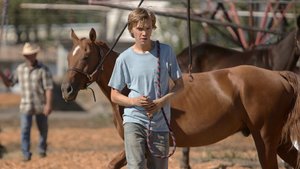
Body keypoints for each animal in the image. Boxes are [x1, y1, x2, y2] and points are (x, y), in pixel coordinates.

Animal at [61, 28, 300, 168]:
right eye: (68, 57)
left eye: (85, 56)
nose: (66, 90)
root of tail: (279, 76)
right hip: (280, 142)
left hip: (266, 140)